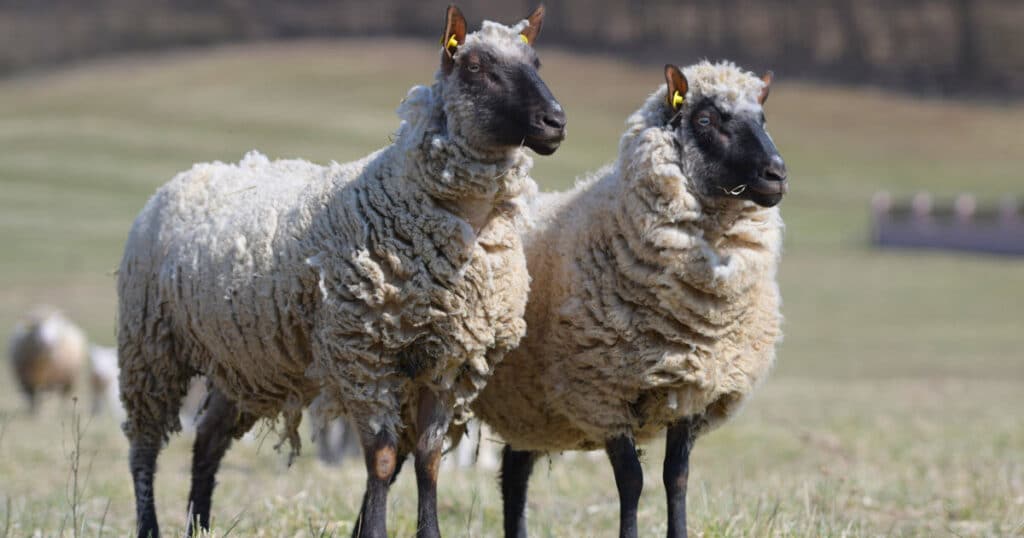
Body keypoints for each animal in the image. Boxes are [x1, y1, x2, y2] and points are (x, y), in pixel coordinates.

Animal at [117, 5, 569, 536]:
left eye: (536, 61)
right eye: (476, 66)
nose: (555, 122)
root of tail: (194, 173)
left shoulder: (448, 361)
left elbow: (428, 460)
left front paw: (429, 531)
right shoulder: (364, 353)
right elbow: (382, 460)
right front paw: (373, 530)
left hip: (242, 362)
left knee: (207, 442)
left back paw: (200, 525)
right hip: (150, 345)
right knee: (143, 449)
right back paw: (151, 524)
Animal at [471, 59, 782, 536]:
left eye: (762, 118)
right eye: (706, 120)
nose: (777, 174)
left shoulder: (690, 390)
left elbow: (677, 477)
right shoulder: (602, 391)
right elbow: (631, 481)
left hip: (528, 406)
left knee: (515, 471)